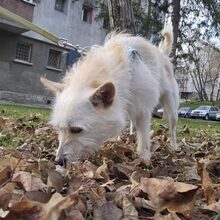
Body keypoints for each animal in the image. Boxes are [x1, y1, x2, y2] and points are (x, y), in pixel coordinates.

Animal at [40, 26, 179, 165]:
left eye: (76, 130)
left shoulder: (143, 110)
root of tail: (162, 54)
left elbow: (144, 137)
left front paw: (144, 158)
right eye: (58, 129)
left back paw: (173, 146)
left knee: (172, 129)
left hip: (171, 108)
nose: (58, 161)